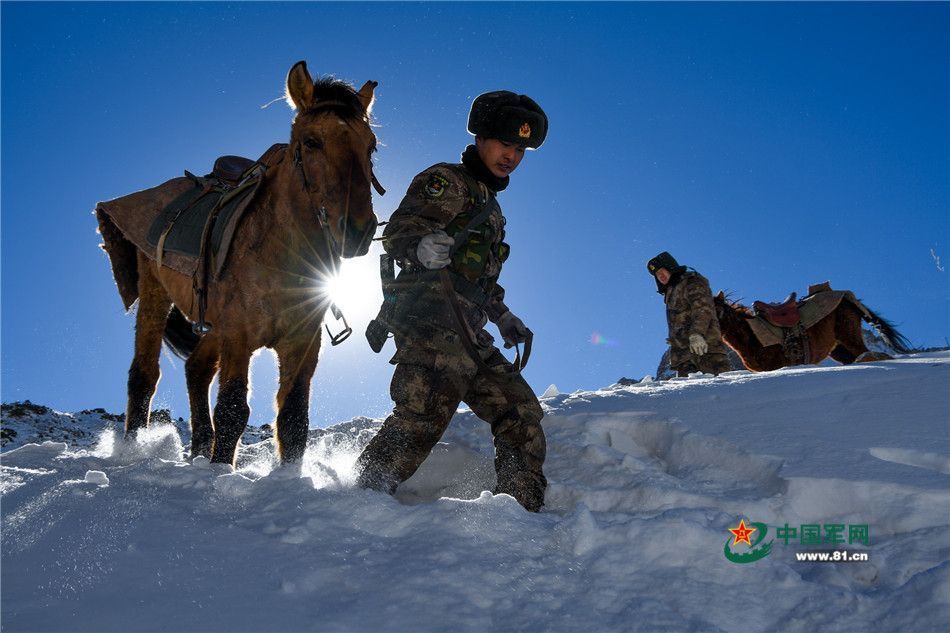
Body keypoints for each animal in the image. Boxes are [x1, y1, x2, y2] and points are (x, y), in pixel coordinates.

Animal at [96, 63, 380, 464]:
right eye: (311, 142)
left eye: (370, 146)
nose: (357, 231)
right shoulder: (239, 336)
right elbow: (232, 410)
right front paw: (220, 470)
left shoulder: (301, 342)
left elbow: (294, 418)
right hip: (156, 293)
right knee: (144, 375)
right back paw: (133, 451)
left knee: (196, 369)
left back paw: (200, 451)